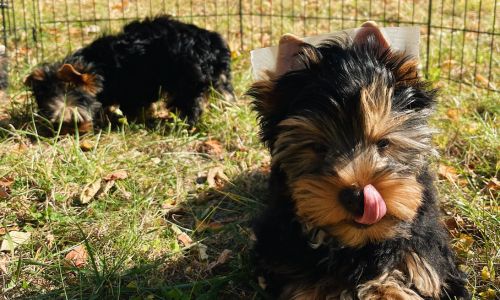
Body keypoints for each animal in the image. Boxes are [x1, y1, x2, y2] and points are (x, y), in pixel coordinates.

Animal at [248, 22, 470, 298]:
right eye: (318, 147)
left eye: (383, 143)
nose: (357, 196)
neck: (358, 245)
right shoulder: (285, 257)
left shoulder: (427, 256)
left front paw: (386, 286)